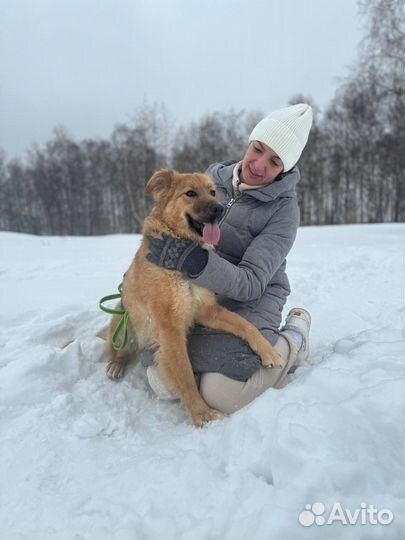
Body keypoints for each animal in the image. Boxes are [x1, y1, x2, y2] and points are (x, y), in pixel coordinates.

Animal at [105, 169, 280, 426]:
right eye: (190, 193)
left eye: (213, 192)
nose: (219, 209)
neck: (182, 263)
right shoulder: (170, 330)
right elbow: (185, 374)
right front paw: (202, 414)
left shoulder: (207, 311)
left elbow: (245, 324)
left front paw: (268, 351)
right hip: (123, 320)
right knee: (120, 350)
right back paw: (116, 365)